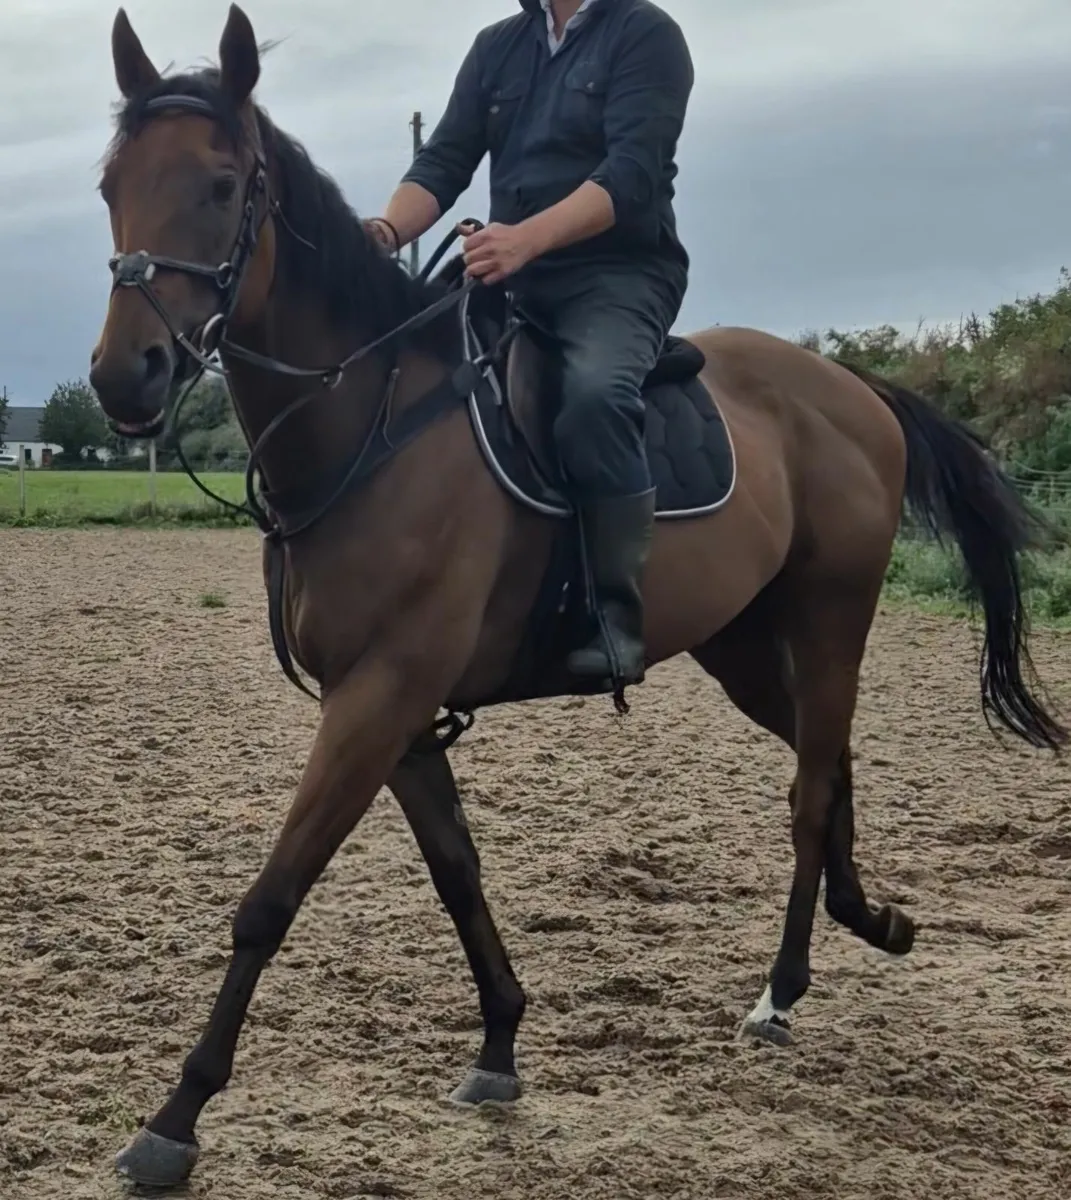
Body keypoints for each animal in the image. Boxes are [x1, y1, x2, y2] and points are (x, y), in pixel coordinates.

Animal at [87, 5, 1065, 1187]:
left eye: (223, 184)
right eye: (110, 184)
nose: (126, 375)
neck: (373, 419)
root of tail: (850, 389)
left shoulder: (376, 699)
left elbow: (270, 899)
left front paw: (175, 1118)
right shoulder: (397, 715)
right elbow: (458, 875)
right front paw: (501, 1042)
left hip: (831, 623)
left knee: (810, 789)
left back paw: (783, 991)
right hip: (743, 649)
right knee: (828, 764)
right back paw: (868, 919)